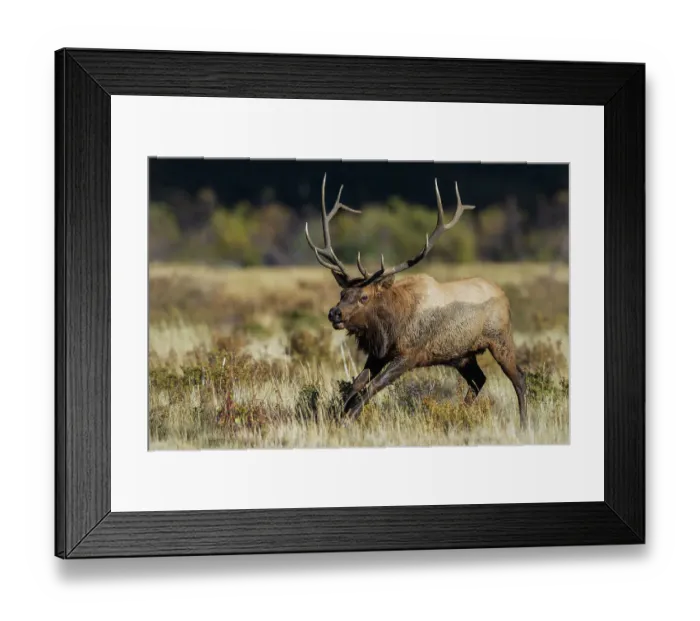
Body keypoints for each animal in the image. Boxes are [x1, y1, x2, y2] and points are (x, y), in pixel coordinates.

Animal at [305, 174, 528, 428]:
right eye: (342, 294)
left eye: (364, 296)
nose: (335, 313)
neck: (390, 325)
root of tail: (504, 296)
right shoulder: (378, 354)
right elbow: (356, 384)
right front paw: (336, 416)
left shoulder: (409, 355)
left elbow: (372, 387)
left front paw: (348, 419)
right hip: (462, 355)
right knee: (478, 379)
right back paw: (461, 413)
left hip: (500, 339)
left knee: (519, 378)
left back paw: (523, 424)